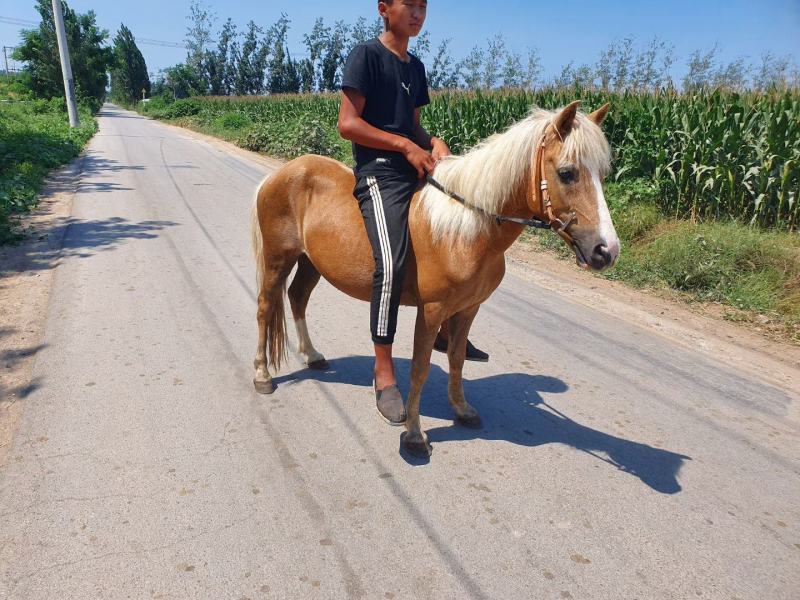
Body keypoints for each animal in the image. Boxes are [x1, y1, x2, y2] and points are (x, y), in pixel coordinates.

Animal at [250, 100, 619, 457]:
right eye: (567, 173)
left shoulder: (468, 308)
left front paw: (461, 408)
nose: (606, 250)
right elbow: (420, 367)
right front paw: (414, 434)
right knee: (266, 307)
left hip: (310, 262)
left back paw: (312, 355)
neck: (464, 229)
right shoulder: (431, 310)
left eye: (602, 174)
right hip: (278, 259)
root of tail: (280, 174)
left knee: (297, 298)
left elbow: (456, 358)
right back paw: (262, 375)